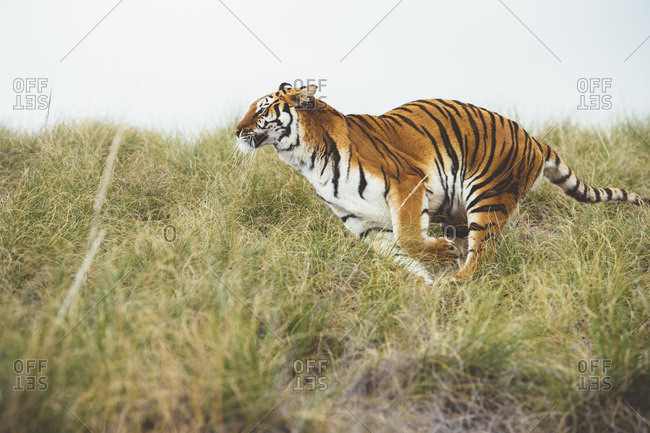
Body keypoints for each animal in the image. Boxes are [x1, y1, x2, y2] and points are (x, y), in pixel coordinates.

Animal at [234, 82, 649, 283]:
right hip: (460, 208)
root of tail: (535, 139)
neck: (304, 159)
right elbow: (401, 255)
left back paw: (457, 281)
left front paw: (441, 260)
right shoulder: (364, 226)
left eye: (261, 108)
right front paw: (424, 287)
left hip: (488, 195)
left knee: (482, 255)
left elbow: (408, 238)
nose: (236, 130)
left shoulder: (407, 181)